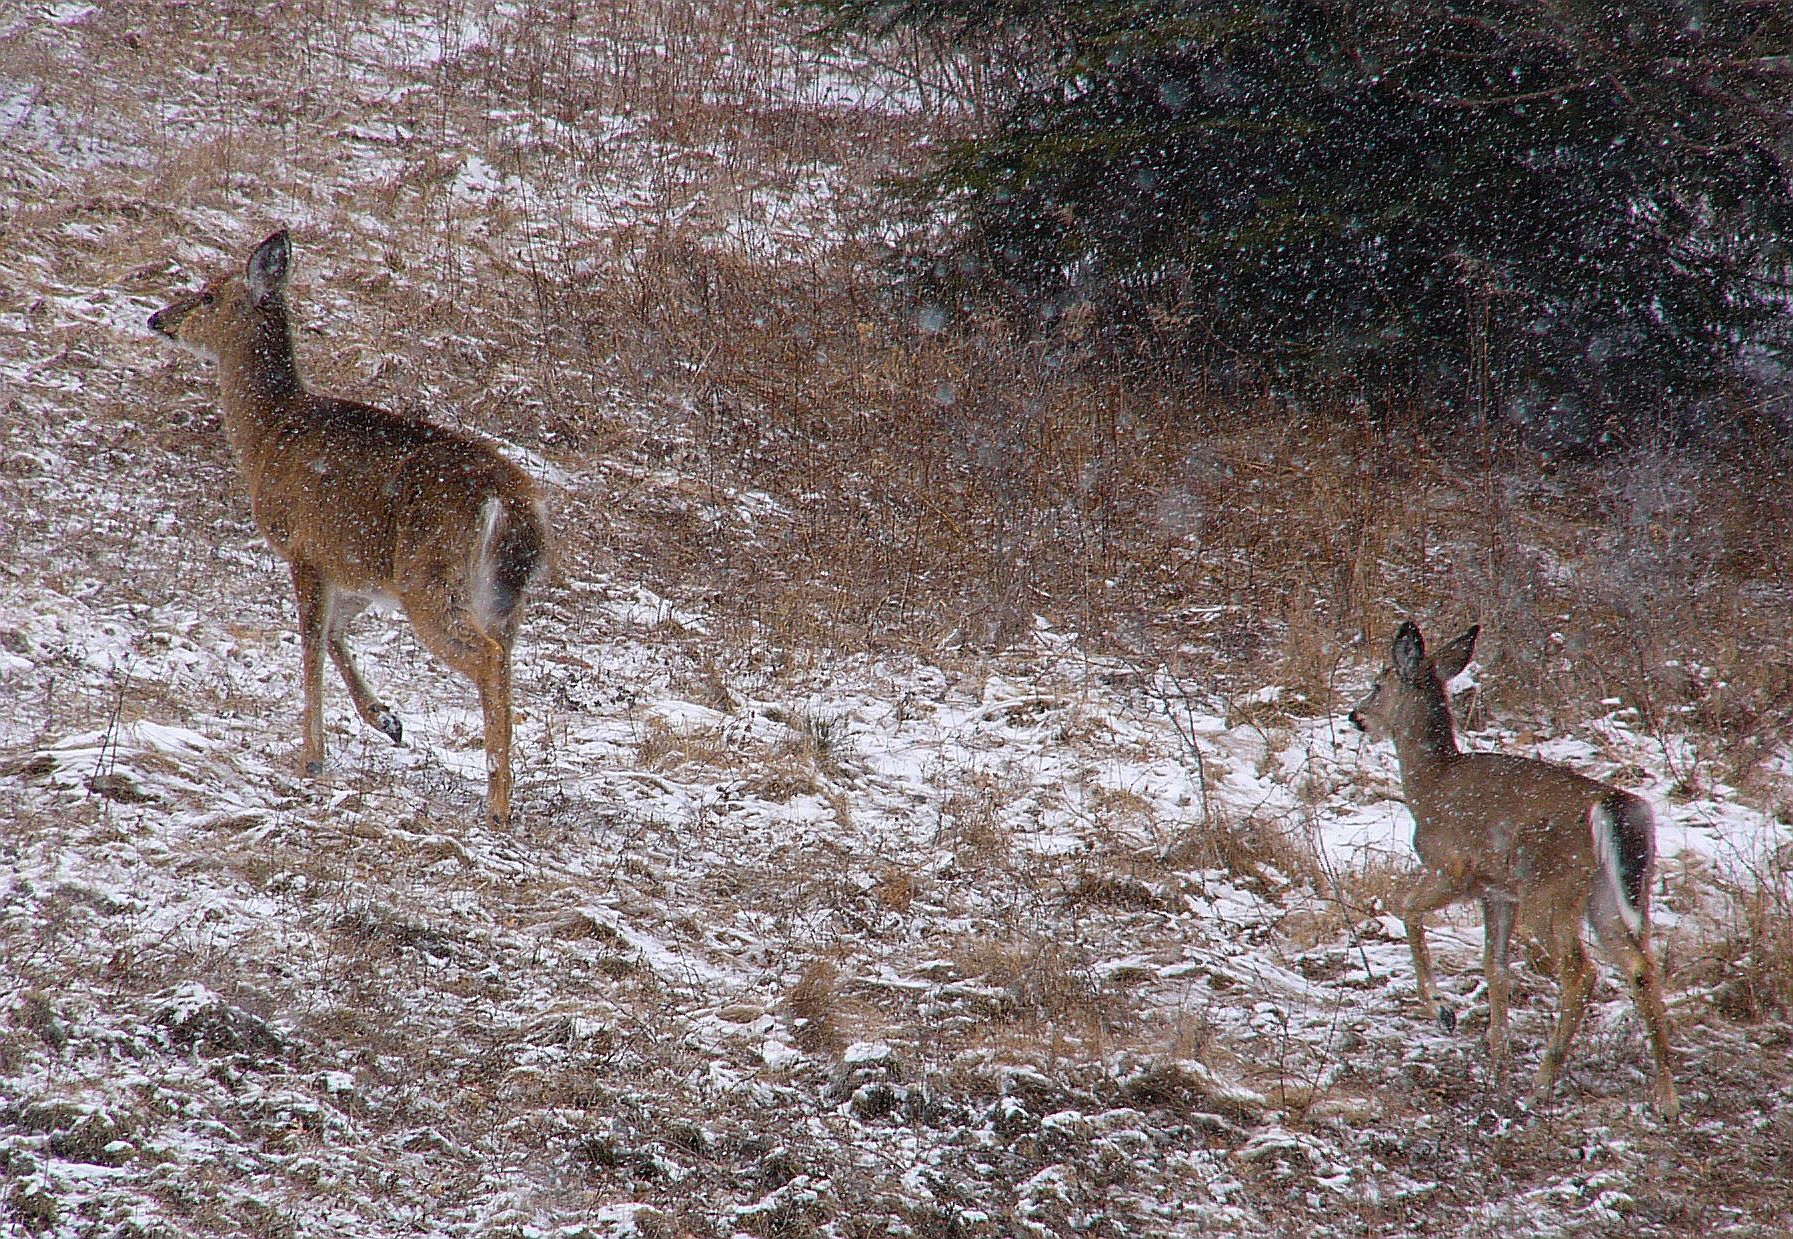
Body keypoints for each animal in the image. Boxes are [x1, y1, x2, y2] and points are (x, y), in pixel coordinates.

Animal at [149, 229, 549, 827]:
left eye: (208, 295)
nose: (157, 318)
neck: (268, 433)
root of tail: (510, 501)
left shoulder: (305, 547)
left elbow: (311, 643)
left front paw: (311, 758)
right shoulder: (357, 571)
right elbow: (336, 636)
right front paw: (388, 720)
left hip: (429, 578)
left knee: (485, 658)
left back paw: (497, 803)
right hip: (499, 596)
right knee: (505, 659)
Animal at [1348, 621, 1678, 1118]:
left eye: (1377, 683)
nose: (1356, 716)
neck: (1429, 784)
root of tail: (1612, 805)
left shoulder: (1454, 868)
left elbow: (1407, 908)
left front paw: (1442, 1009)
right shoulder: (1497, 893)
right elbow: (1496, 966)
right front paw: (1497, 1062)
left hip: (1552, 891)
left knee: (1581, 973)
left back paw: (1541, 1086)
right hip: (1609, 894)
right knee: (1641, 966)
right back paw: (1667, 1098)